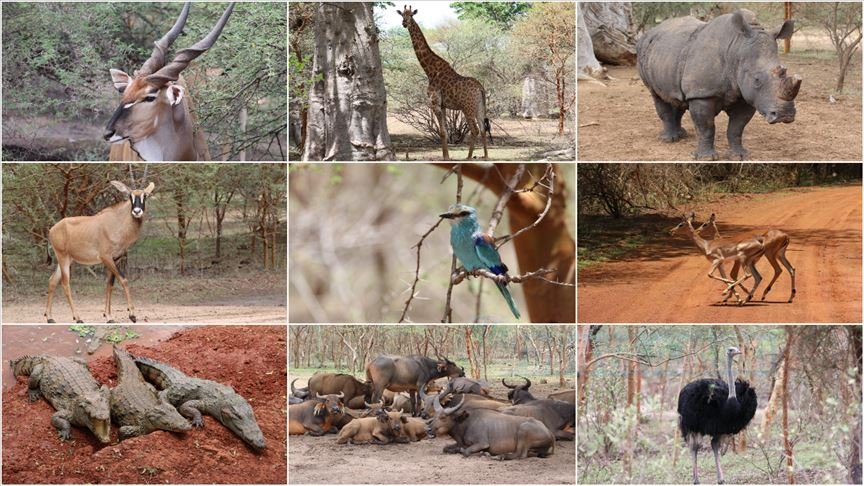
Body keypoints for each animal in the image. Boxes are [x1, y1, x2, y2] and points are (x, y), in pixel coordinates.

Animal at [44, 179, 156, 322]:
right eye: (130, 196)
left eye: (145, 196)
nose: (137, 211)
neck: (118, 222)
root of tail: (52, 230)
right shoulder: (106, 258)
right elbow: (123, 280)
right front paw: (132, 314)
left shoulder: (116, 259)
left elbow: (109, 284)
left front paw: (108, 316)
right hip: (63, 258)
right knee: (65, 284)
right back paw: (77, 317)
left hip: (66, 260)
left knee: (52, 281)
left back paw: (50, 317)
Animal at [398, 4, 492, 160]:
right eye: (401, 15)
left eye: (411, 15)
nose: (404, 23)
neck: (430, 70)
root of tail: (480, 88)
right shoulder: (442, 105)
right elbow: (445, 132)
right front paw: (446, 155)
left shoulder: (434, 103)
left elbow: (442, 132)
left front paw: (446, 157)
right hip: (480, 106)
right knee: (483, 128)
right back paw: (485, 155)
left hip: (467, 108)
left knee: (475, 129)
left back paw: (468, 157)